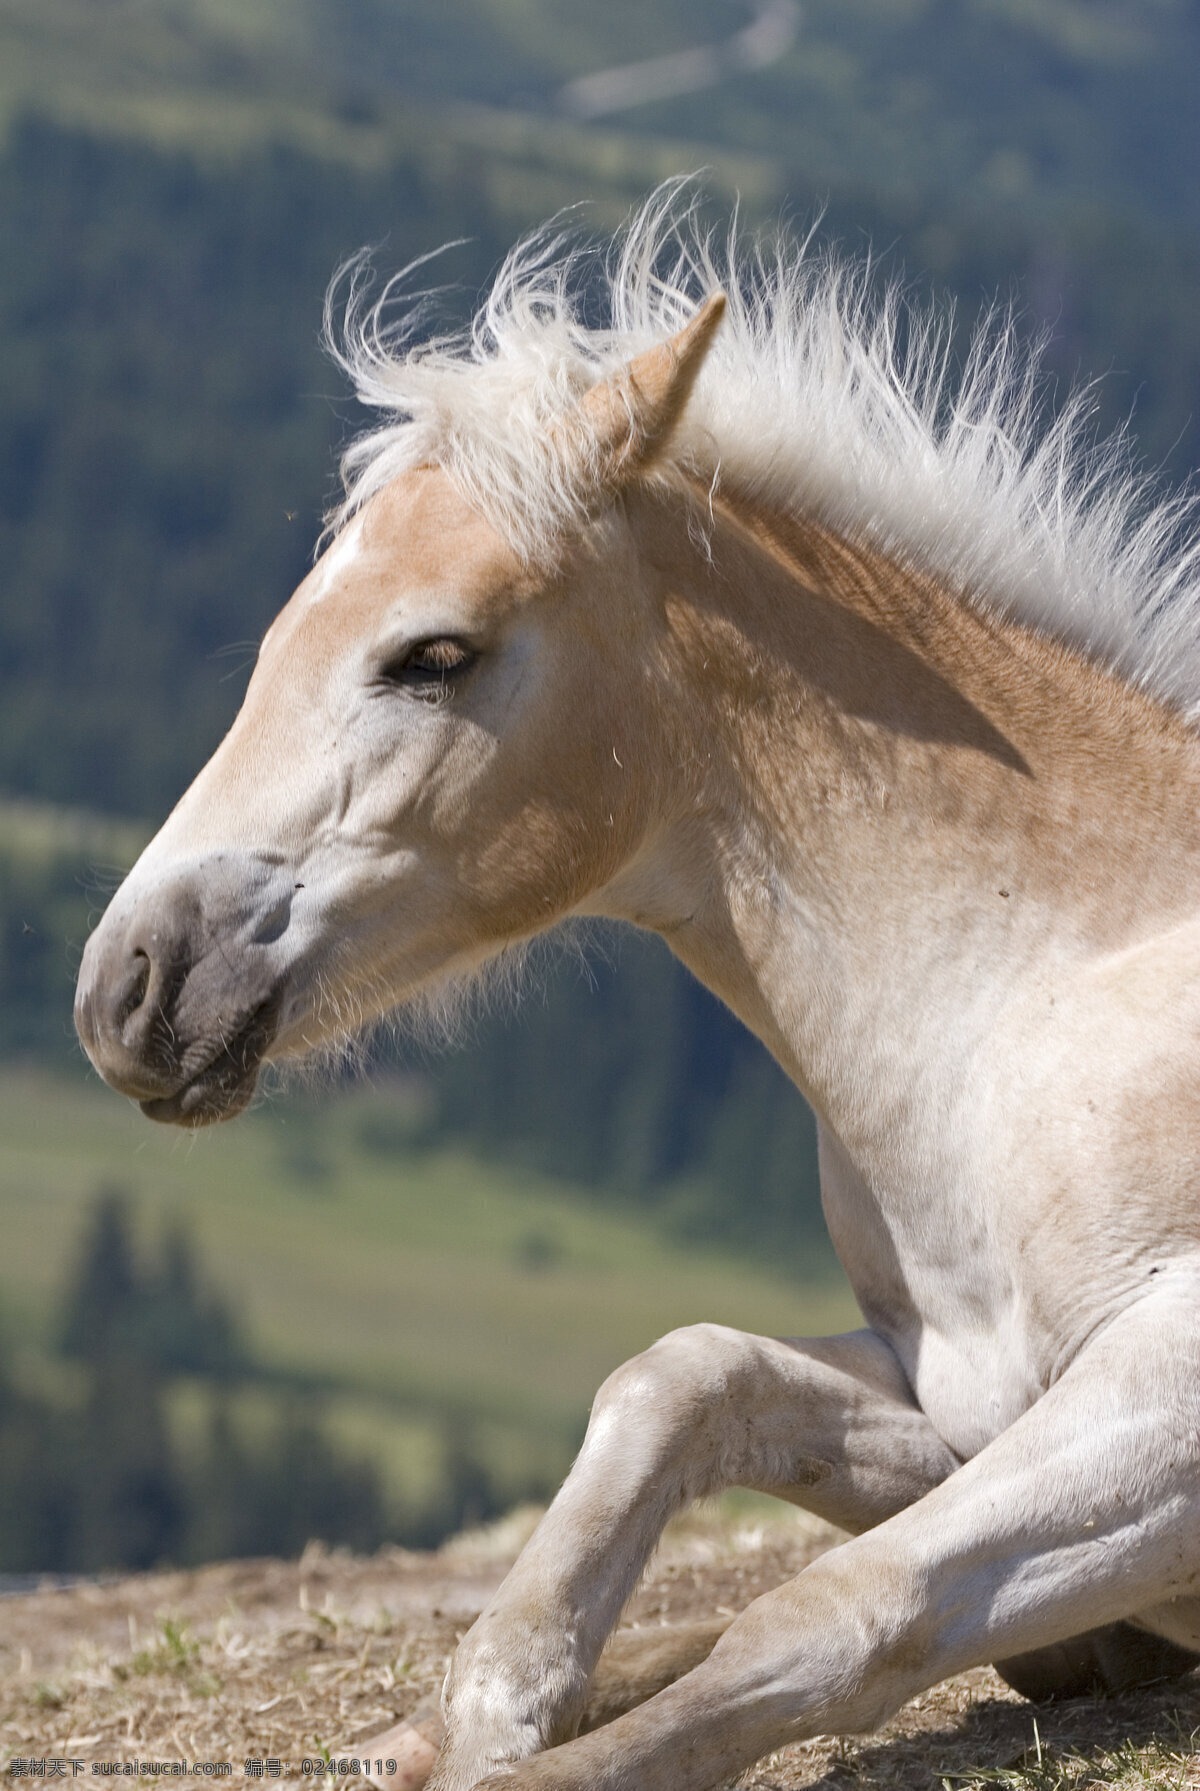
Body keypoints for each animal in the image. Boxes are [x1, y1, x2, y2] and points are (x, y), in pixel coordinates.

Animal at [74, 194, 1200, 1791]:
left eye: (434, 652)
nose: (132, 984)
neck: (1024, 1012)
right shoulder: (957, 1396)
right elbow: (681, 1377)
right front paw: (496, 1695)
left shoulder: (1164, 1397)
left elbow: (839, 1607)